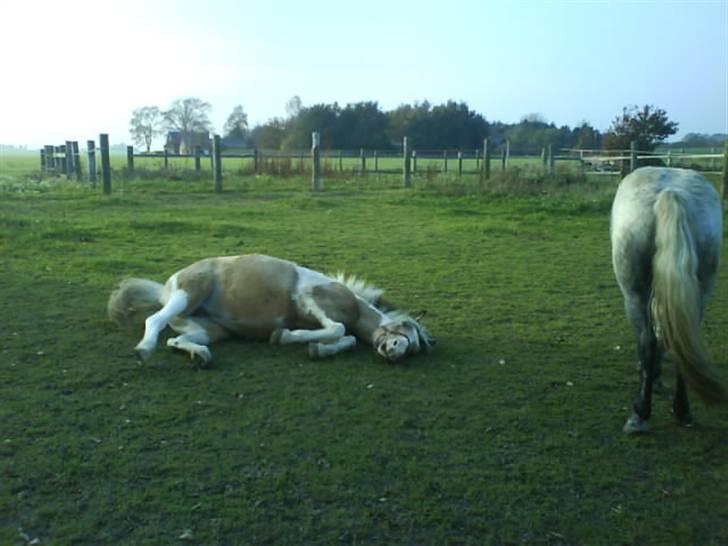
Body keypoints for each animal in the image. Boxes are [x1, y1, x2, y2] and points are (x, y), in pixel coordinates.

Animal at [108, 253, 432, 364]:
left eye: (413, 349)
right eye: (406, 330)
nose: (393, 351)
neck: (352, 304)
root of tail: (164, 290)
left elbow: (348, 338)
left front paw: (318, 349)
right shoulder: (309, 298)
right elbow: (339, 329)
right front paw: (284, 336)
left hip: (208, 330)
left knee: (177, 340)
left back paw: (200, 356)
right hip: (187, 295)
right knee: (154, 320)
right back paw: (144, 350)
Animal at [612, 164, 724, 432]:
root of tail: (671, 193)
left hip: (633, 295)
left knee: (648, 341)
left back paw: (640, 413)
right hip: (700, 292)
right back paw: (682, 411)